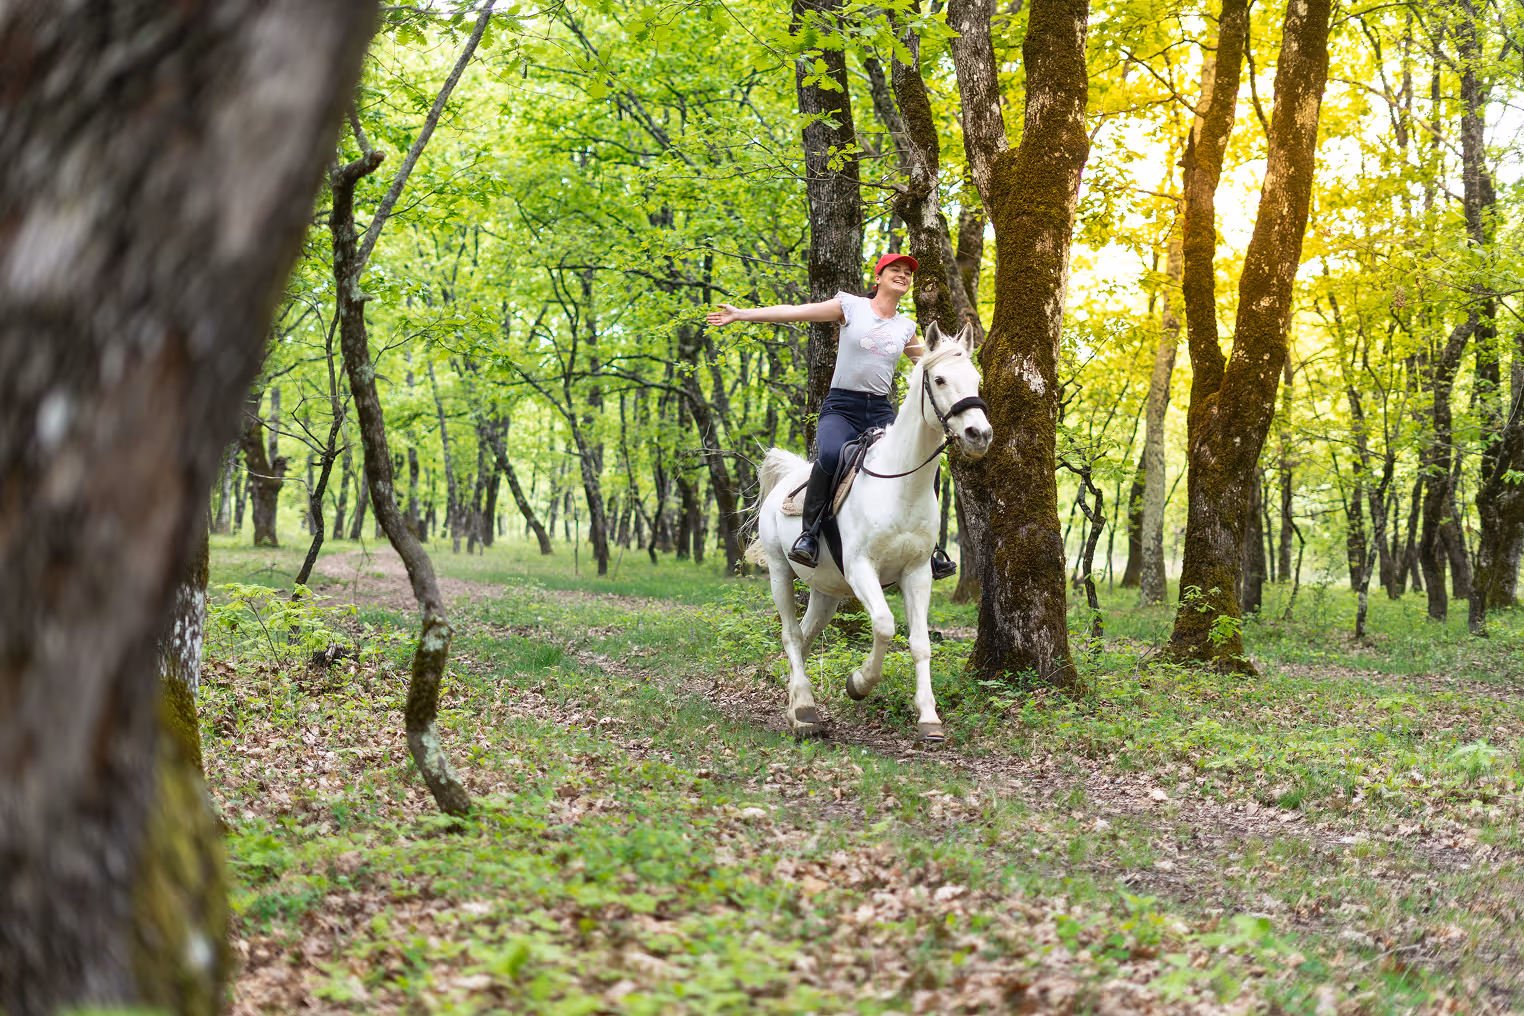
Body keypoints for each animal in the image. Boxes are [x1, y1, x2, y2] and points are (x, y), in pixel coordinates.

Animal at [745, 322, 992, 743]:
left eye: (976, 379)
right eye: (940, 379)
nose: (980, 434)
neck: (900, 484)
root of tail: (789, 476)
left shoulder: (918, 572)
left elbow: (920, 643)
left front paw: (929, 718)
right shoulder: (863, 568)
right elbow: (884, 625)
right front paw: (858, 683)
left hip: (826, 589)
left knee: (807, 634)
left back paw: (796, 706)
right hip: (780, 571)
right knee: (791, 634)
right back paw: (806, 712)